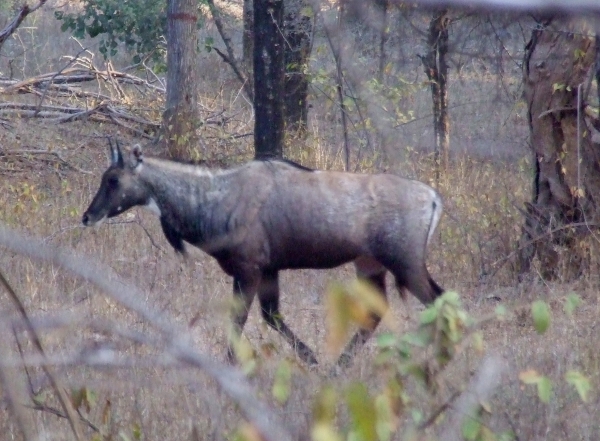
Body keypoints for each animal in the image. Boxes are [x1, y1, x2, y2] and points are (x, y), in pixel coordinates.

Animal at [82, 140, 442, 364]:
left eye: (114, 179)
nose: (87, 216)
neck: (215, 198)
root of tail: (433, 198)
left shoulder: (249, 268)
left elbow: (238, 319)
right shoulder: (269, 269)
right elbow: (272, 316)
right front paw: (313, 361)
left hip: (406, 264)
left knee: (436, 301)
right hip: (370, 265)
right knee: (376, 313)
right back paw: (338, 367)